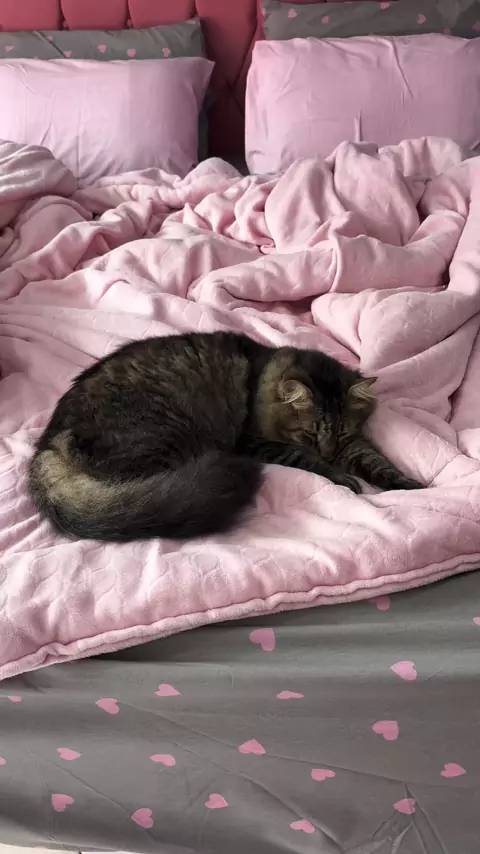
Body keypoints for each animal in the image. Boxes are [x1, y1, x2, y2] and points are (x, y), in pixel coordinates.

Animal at [28, 331, 422, 542]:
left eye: (340, 432)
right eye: (309, 433)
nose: (328, 452)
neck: (261, 381)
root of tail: (47, 445)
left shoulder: (354, 444)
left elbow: (377, 462)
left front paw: (408, 485)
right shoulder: (256, 442)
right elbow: (307, 459)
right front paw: (341, 477)